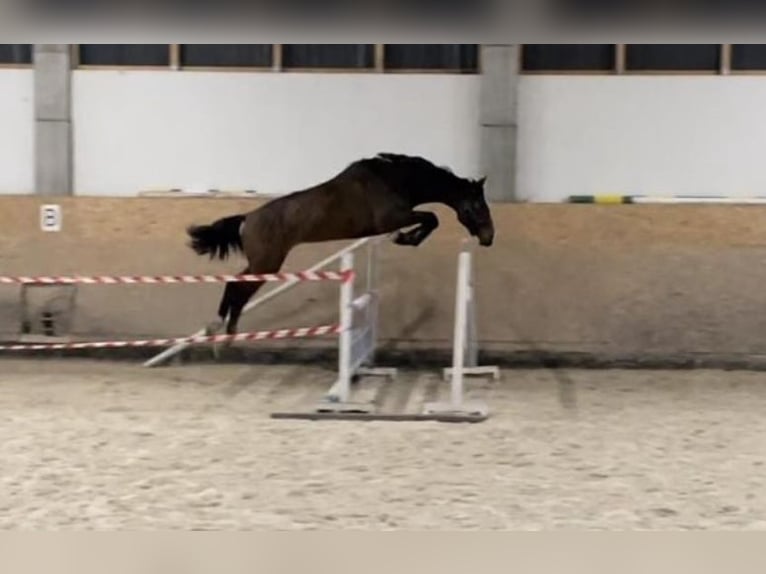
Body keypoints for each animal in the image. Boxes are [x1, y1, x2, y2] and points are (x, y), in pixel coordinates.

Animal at [186, 152, 495, 336]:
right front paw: (405, 238)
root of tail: (247, 219)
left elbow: (430, 219)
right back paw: (226, 329)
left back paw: (222, 330)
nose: (489, 237)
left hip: (262, 263)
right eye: (478, 205)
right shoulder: (392, 218)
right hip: (267, 263)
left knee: (235, 284)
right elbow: (431, 218)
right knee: (239, 287)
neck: (395, 180)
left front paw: (406, 238)